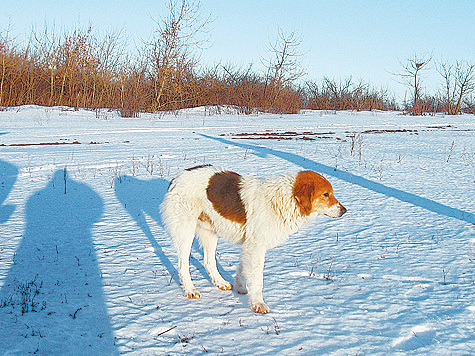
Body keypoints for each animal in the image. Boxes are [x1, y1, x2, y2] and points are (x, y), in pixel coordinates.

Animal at [161, 165, 346, 312]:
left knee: (208, 261)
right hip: (186, 231)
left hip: (209, 232)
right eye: (326, 194)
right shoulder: (256, 246)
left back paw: (220, 282)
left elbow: (243, 270)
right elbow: (257, 279)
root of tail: (177, 177)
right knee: (183, 264)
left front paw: (241, 288)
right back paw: (190, 290)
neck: (283, 200)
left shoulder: (249, 245)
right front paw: (258, 304)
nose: (344, 210)